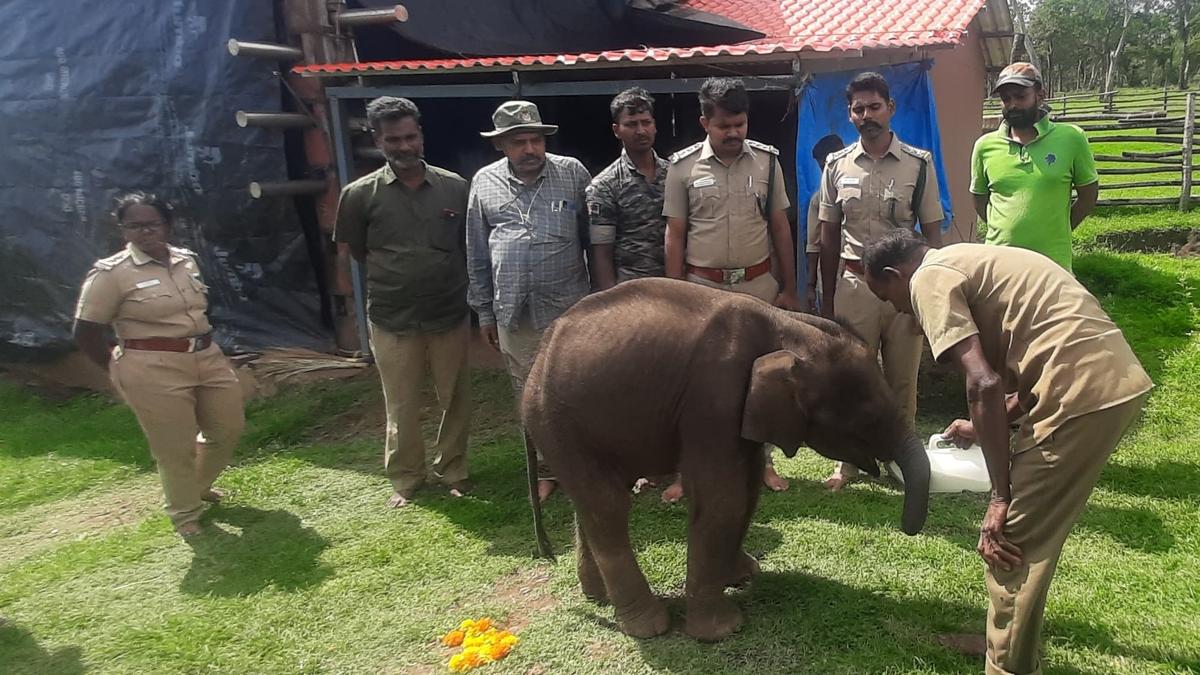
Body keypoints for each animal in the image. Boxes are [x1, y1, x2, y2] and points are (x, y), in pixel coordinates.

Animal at [523, 276, 926, 638]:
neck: (790, 325)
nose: (907, 530)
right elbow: (724, 500)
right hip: (559, 423)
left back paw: (599, 598)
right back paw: (648, 627)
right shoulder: (713, 398)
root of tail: (537, 358)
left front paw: (744, 575)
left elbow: (748, 488)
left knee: (590, 504)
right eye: (867, 419)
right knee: (608, 507)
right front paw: (723, 629)